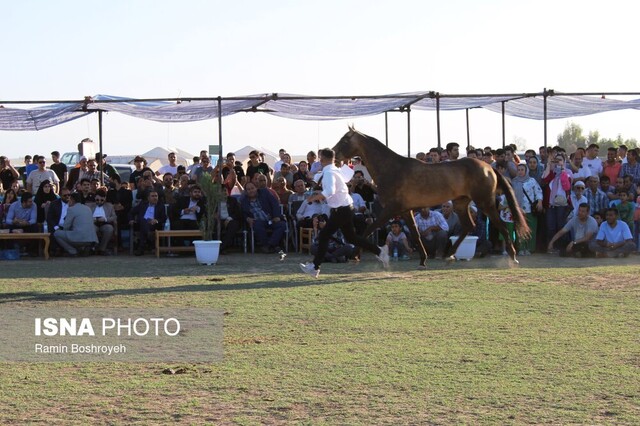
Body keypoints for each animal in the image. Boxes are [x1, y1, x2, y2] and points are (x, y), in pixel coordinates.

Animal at [330, 125, 528, 268]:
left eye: (345, 139)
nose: (332, 153)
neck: (392, 169)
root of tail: (488, 168)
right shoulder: (406, 210)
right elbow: (416, 234)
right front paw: (423, 260)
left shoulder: (391, 209)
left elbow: (368, 229)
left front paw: (355, 255)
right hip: (461, 203)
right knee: (468, 226)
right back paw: (449, 254)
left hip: (485, 202)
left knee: (502, 226)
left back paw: (513, 257)